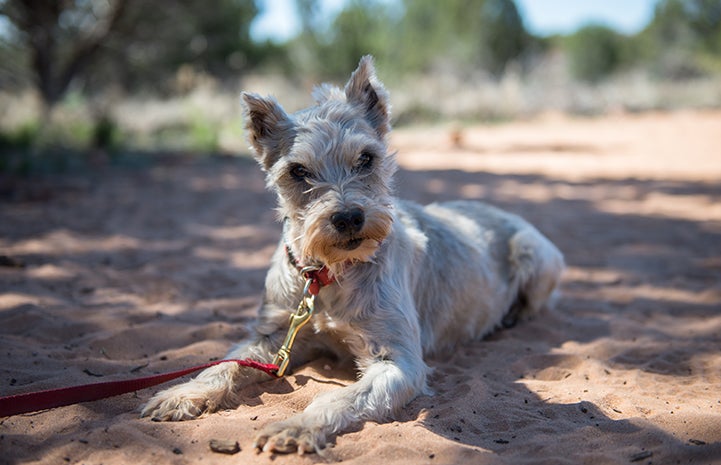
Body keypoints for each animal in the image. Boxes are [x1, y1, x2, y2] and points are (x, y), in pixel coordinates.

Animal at [141, 54, 564, 454]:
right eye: (297, 171)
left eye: (366, 158)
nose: (347, 217)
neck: (327, 275)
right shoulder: (273, 336)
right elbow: (224, 364)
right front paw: (181, 394)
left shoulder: (398, 361)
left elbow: (336, 397)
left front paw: (296, 427)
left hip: (535, 256)